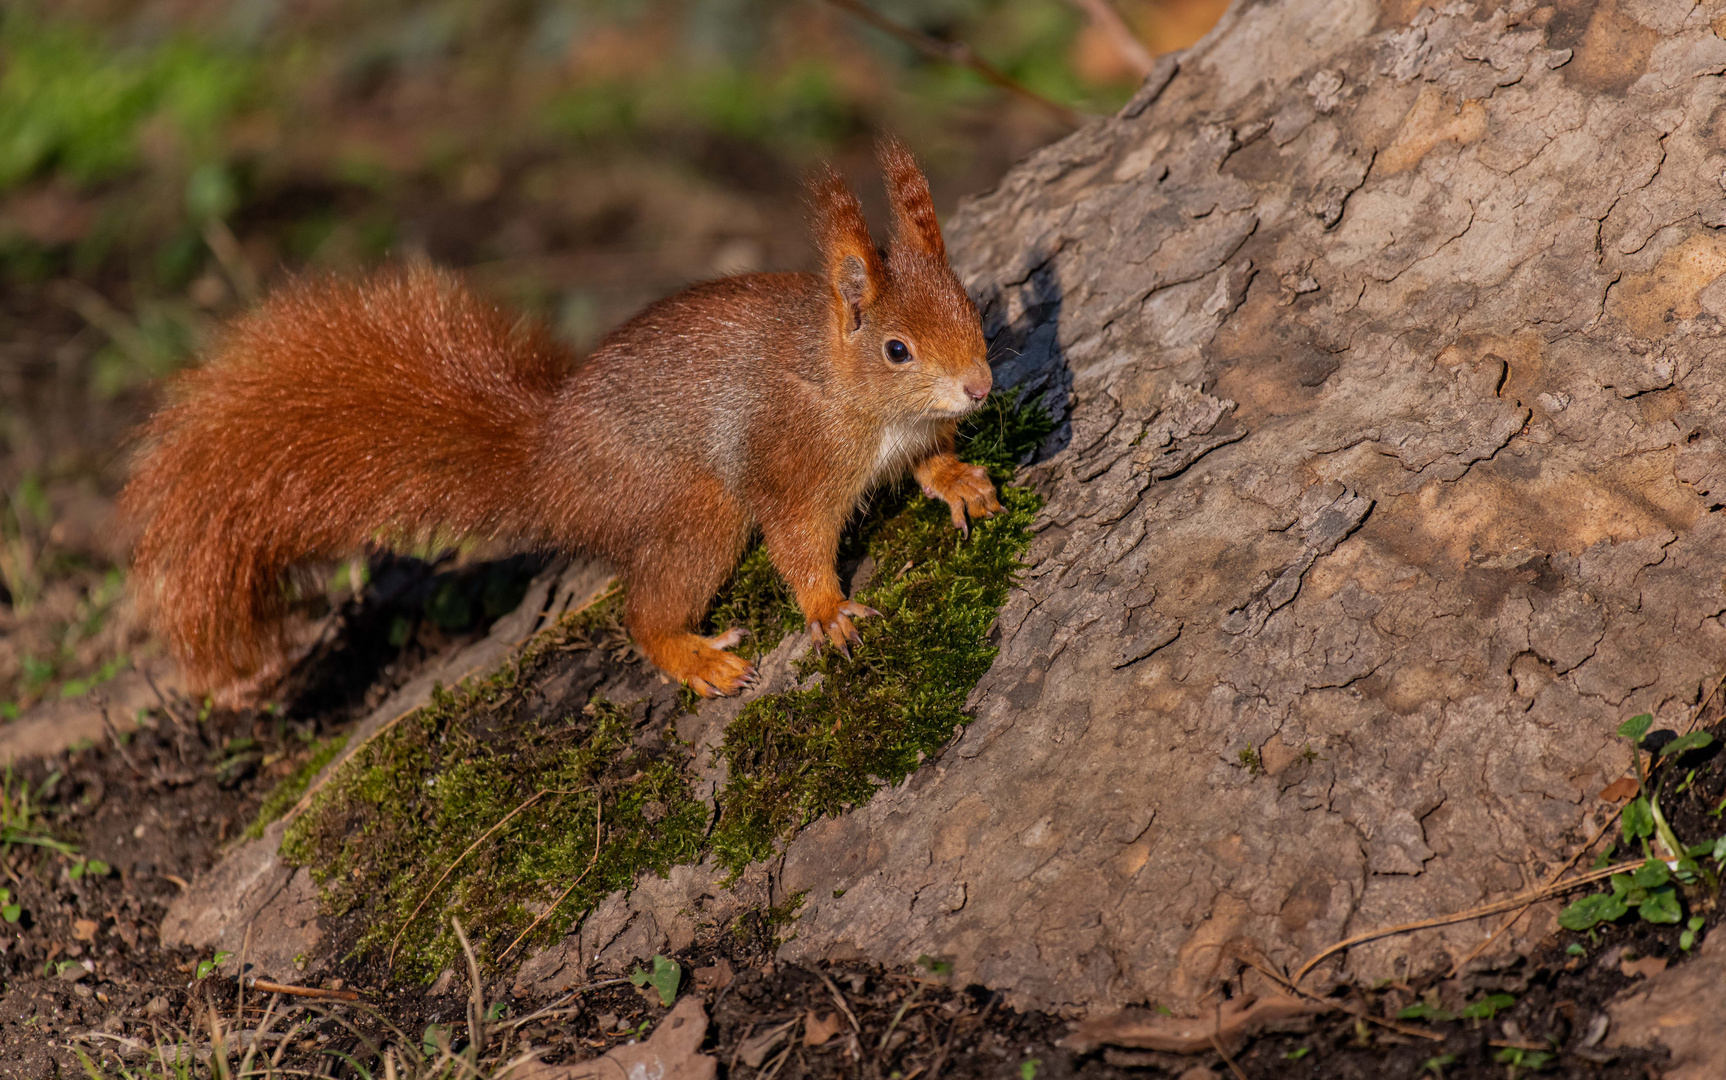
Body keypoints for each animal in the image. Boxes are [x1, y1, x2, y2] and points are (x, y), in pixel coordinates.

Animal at [125, 138, 1001, 696]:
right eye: (896, 349)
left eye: (969, 304)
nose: (979, 387)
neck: (849, 395)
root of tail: (544, 464)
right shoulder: (787, 460)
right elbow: (798, 544)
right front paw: (827, 610)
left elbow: (928, 460)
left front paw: (959, 477)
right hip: (693, 509)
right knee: (642, 614)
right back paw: (692, 657)